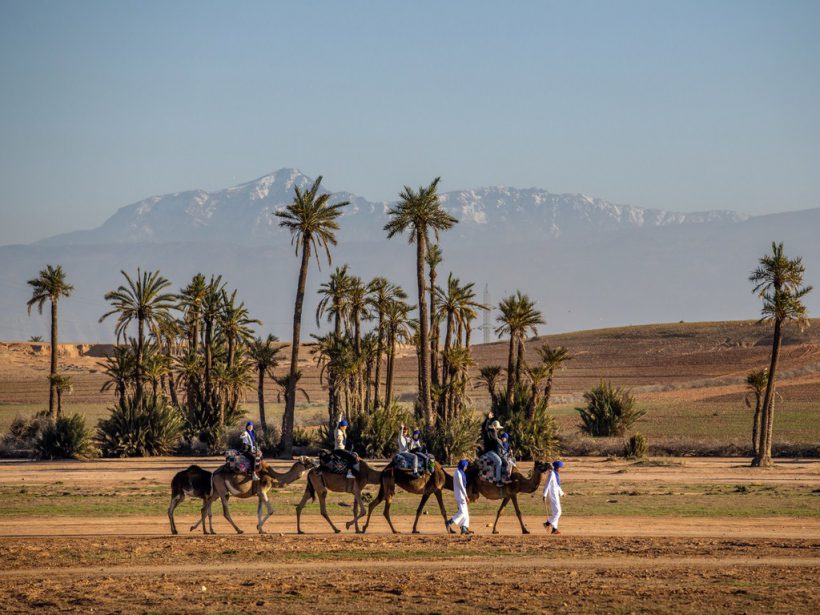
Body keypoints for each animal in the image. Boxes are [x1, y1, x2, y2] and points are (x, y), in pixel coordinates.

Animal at [190, 458, 318, 536]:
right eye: (307, 459)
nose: (317, 462)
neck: (272, 476)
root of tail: (214, 473)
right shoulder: (262, 491)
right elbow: (271, 510)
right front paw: (259, 527)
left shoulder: (259, 494)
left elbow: (259, 512)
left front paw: (261, 529)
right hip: (223, 491)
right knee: (225, 512)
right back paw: (239, 530)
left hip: (217, 492)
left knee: (205, 507)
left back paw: (203, 530)